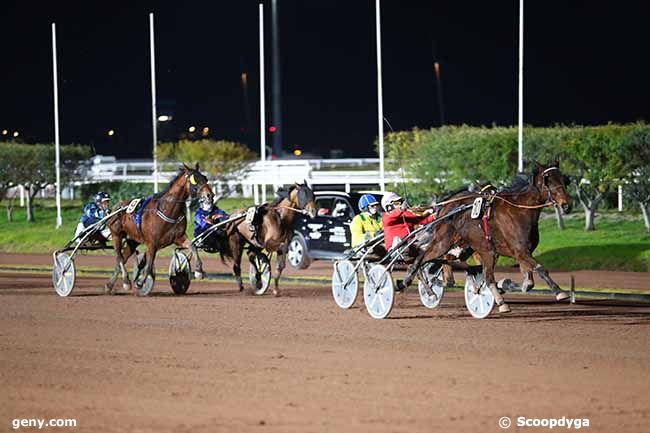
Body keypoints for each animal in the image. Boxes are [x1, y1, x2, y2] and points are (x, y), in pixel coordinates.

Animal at [105, 164, 209, 296]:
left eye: (205, 178)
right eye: (195, 180)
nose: (210, 195)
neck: (168, 209)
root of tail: (116, 207)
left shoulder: (179, 237)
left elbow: (193, 246)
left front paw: (199, 270)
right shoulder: (152, 243)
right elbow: (149, 264)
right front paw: (140, 282)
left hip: (133, 240)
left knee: (123, 258)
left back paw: (109, 285)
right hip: (116, 235)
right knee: (119, 257)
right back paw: (126, 282)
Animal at [402, 160, 568, 312]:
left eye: (563, 177)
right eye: (547, 178)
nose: (566, 204)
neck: (520, 211)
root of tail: (445, 206)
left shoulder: (521, 252)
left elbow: (528, 280)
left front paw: (508, 284)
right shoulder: (519, 250)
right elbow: (540, 268)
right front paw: (560, 292)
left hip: (473, 247)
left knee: (463, 267)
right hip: (444, 242)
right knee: (422, 258)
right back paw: (410, 282)